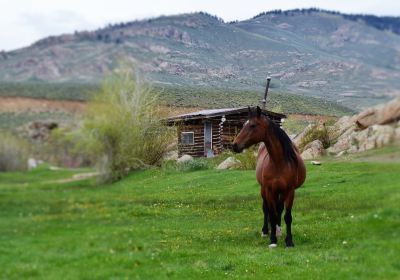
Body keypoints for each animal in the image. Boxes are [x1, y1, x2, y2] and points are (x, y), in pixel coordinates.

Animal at [233, 106, 304, 247]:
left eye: (252, 125)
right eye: (243, 124)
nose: (234, 145)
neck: (278, 163)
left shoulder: (290, 191)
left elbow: (287, 216)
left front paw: (289, 241)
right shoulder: (269, 190)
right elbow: (271, 213)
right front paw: (272, 240)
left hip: (280, 192)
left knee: (279, 209)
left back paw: (277, 230)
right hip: (264, 190)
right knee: (267, 209)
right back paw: (266, 230)